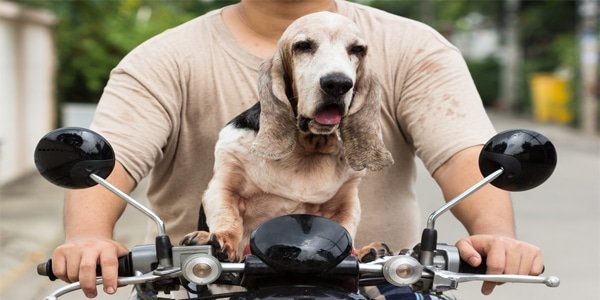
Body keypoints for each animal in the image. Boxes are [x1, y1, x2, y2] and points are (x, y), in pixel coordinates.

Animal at [180, 10, 396, 262]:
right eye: (303, 46)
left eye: (358, 49)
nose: (337, 83)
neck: (309, 146)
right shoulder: (225, 183)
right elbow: (228, 217)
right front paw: (217, 240)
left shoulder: (346, 200)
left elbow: (345, 229)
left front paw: (358, 251)